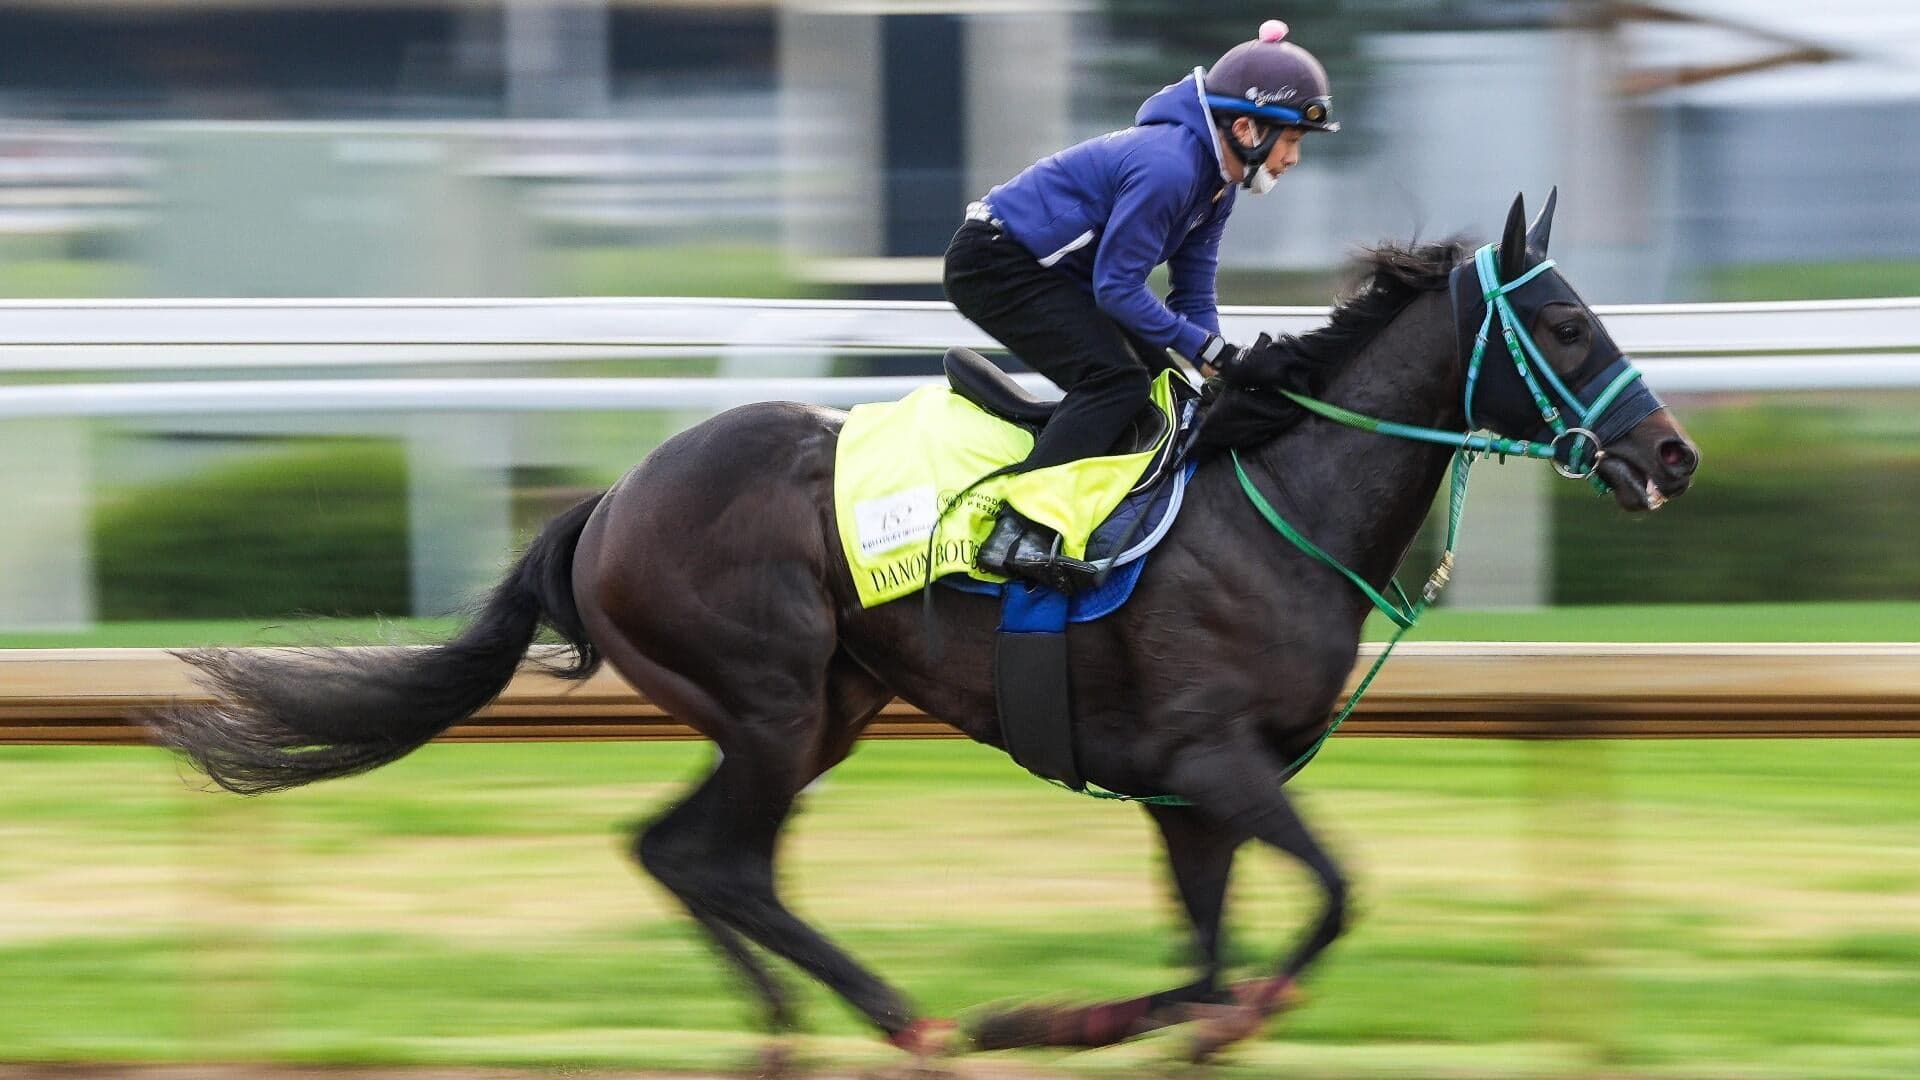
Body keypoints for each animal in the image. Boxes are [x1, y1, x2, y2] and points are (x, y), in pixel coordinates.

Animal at [149, 192, 1699, 1060]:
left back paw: (810, 1028)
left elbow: (1208, 965)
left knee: (678, 853)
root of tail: (607, 501)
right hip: (772, 703)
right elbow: (1322, 906)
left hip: (819, 709)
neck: (1276, 501)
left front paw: (1095, 1019)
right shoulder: (1214, 763)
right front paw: (1065, 1018)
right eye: (1566, 325)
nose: (1673, 456)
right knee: (718, 859)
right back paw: (900, 1018)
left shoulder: (1188, 798)